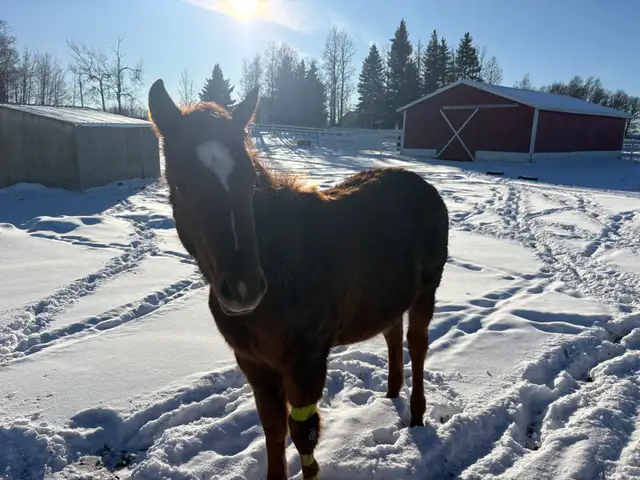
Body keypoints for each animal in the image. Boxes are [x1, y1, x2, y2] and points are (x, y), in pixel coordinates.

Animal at [148, 79, 449, 480]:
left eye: (249, 180)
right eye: (180, 185)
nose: (243, 288)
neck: (280, 264)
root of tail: (426, 186)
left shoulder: (306, 360)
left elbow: (303, 434)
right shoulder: (254, 362)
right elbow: (273, 428)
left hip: (426, 291)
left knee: (417, 345)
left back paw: (416, 416)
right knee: (391, 332)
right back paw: (390, 396)